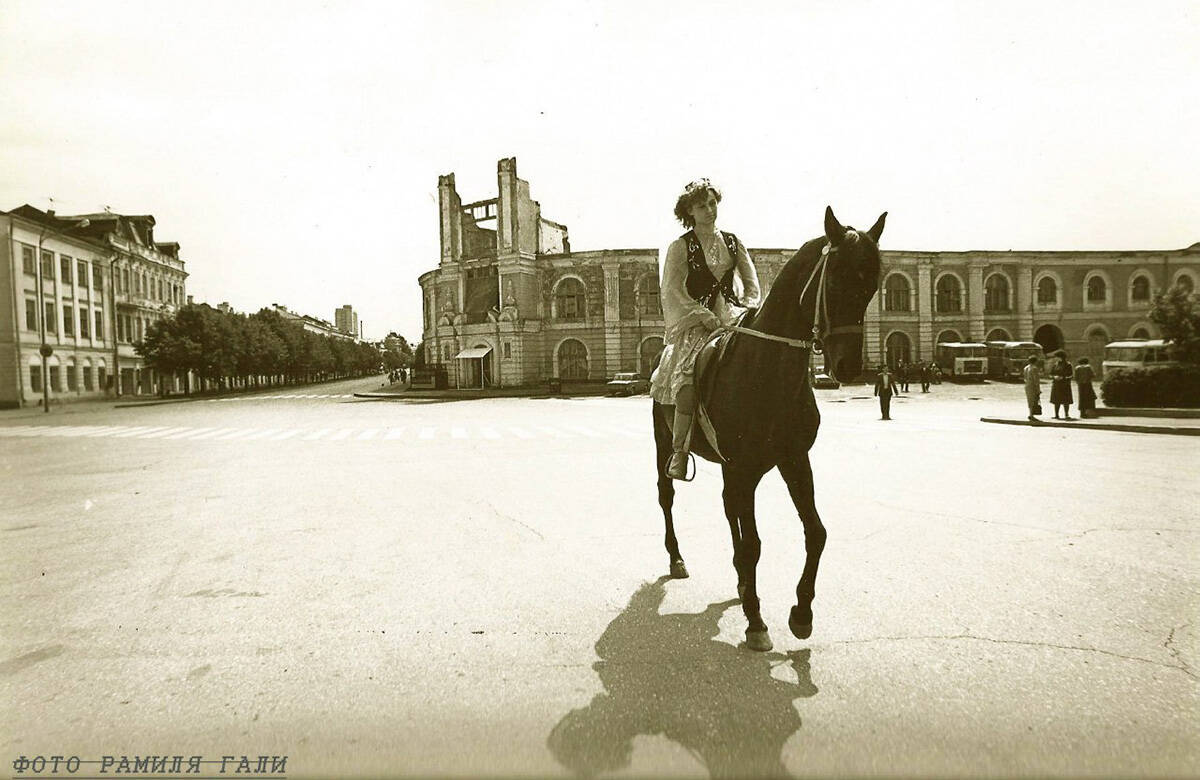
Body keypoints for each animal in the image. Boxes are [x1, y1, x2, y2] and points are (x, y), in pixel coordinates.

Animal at [652, 206, 886, 652]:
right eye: (836, 279)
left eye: (874, 284)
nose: (848, 366)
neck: (768, 370)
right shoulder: (744, 467)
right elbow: (754, 545)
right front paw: (756, 621)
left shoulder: (792, 460)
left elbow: (816, 532)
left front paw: (801, 613)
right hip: (665, 448)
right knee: (667, 497)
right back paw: (676, 558)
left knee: (729, 512)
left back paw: (742, 584)